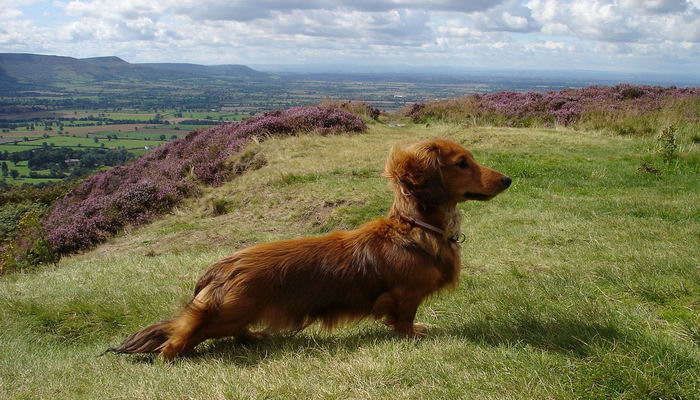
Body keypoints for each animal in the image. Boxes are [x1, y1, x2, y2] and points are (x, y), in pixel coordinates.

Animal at [110, 138, 516, 360]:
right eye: (462, 163)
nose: (508, 179)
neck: (414, 229)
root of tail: (221, 266)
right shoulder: (405, 294)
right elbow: (403, 318)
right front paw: (412, 334)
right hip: (225, 311)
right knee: (183, 331)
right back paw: (172, 355)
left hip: (238, 312)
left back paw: (253, 337)